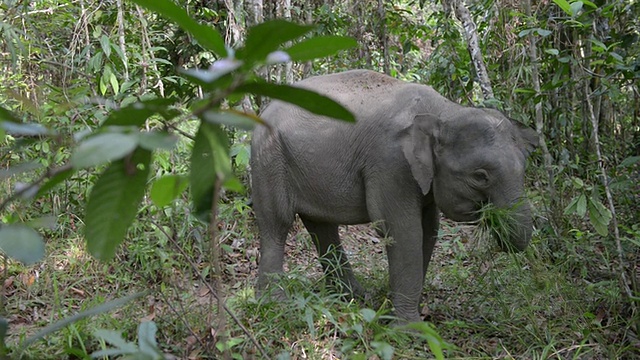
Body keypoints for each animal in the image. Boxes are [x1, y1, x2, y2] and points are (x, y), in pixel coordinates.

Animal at [248, 69, 536, 322]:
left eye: (524, 167)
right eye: (480, 176)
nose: (498, 227)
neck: (445, 111)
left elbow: (428, 230)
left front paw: (399, 313)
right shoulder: (390, 163)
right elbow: (402, 229)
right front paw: (410, 328)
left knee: (322, 227)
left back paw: (353, 298)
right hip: (269, 157)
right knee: (277, 223)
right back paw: (275, 303)